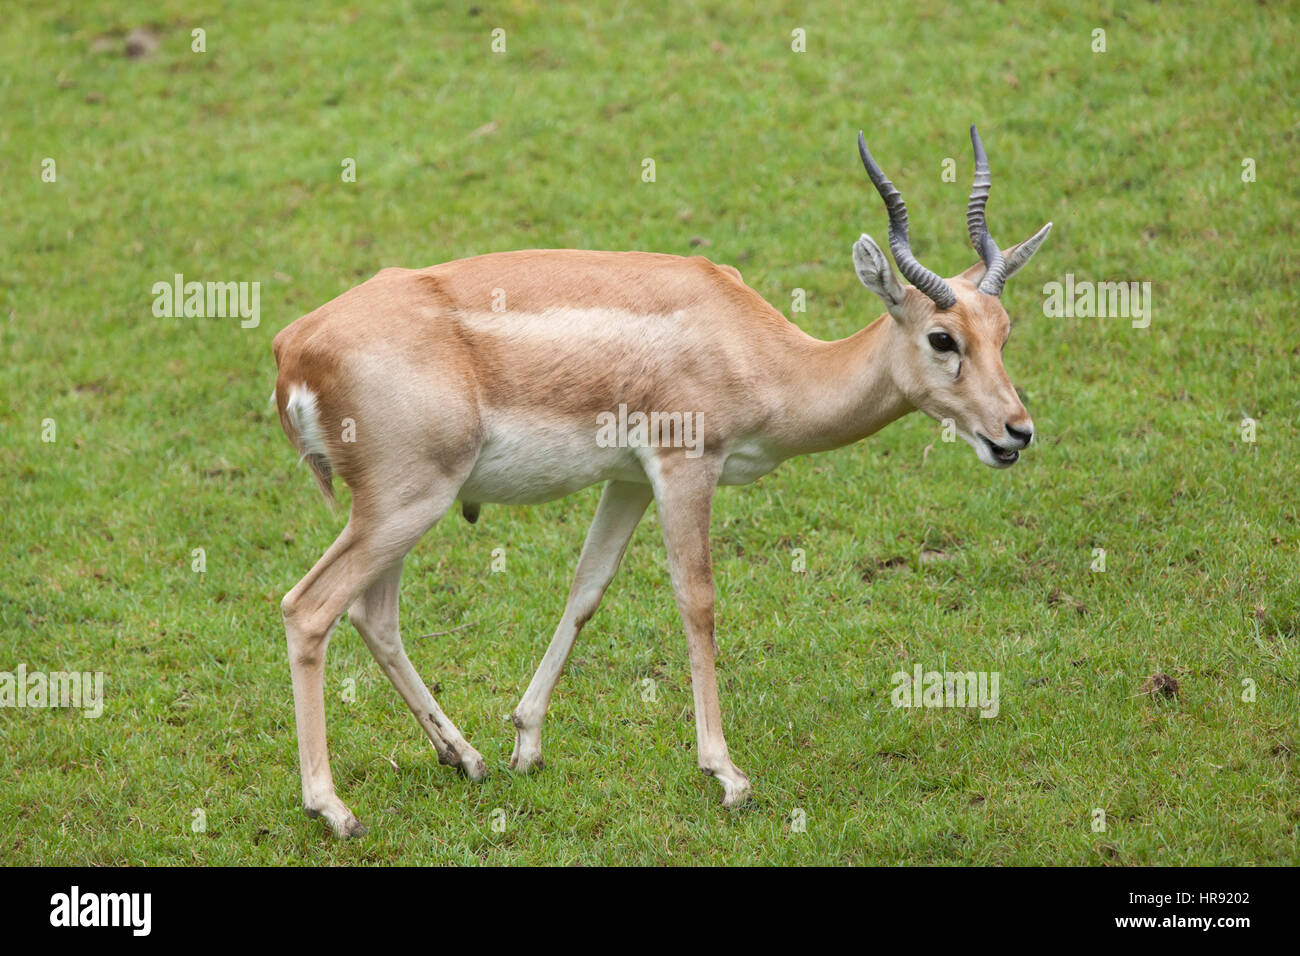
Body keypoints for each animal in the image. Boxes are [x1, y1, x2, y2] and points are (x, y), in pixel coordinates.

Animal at [274, 123, 1055, 832]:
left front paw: (526, 741)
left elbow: (587, 588)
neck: (758, 350)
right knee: (308, 609)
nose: (1015, 433)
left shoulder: (628, 480)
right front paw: (727, 774)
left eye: (1004, 331)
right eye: (942, 338)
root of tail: (294, 348)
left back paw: (464, 758)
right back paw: (333, 809)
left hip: (401, 511)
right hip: (407, 503)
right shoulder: (686, 466)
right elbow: (696, 600)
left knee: (372, 617)